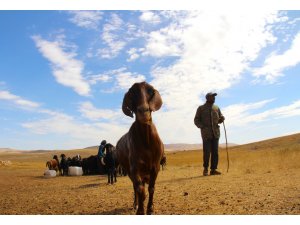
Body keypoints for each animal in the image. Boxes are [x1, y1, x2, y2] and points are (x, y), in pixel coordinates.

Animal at [116, 81, 165, 214]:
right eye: (132, 92)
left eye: (150, 90)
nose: (143, 111)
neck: (146, 142)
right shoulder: (134, 168)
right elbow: (140, 190)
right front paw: (140, 210)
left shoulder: (155, 167)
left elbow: (151, 188)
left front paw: (150, 208)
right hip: (129, 170)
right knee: (135, 188)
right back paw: (136, 204)